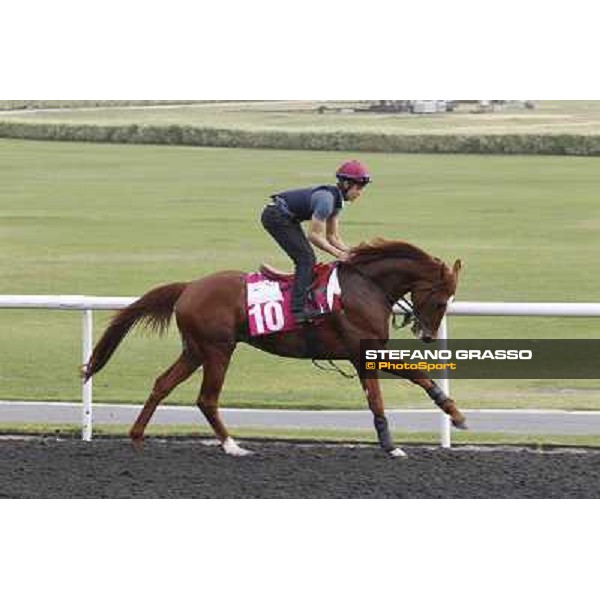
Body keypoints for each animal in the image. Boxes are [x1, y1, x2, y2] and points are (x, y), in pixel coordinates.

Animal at [84, 240, 466, 460]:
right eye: (441, 300)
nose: (428, 335)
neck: (366, 287)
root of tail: (189, 286)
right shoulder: (362, 352)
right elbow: (389, 392)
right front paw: (396, 442)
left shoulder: (364, 355)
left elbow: (405, 383)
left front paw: (449, 414)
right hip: (217, 350)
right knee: (207, 398)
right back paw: (232, 446)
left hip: (194, 350)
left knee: (162, 384)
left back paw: (137, 437)